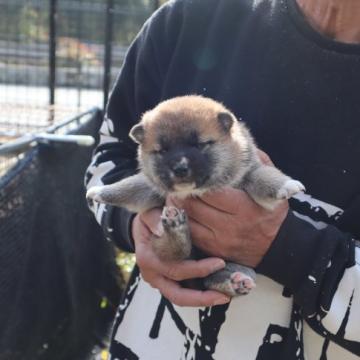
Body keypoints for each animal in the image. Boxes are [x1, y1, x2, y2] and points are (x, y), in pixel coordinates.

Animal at [87, 95, 304, 296]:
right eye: (162, 150)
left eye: (200, 144)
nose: (180, 168)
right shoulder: (152, 187)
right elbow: (130, 187)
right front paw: (99, 192)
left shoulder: (250, 171)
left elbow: (264, 176)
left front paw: (287, 185)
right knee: (175, 254)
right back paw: (176, 228)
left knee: (217, 278)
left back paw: (238, 281)